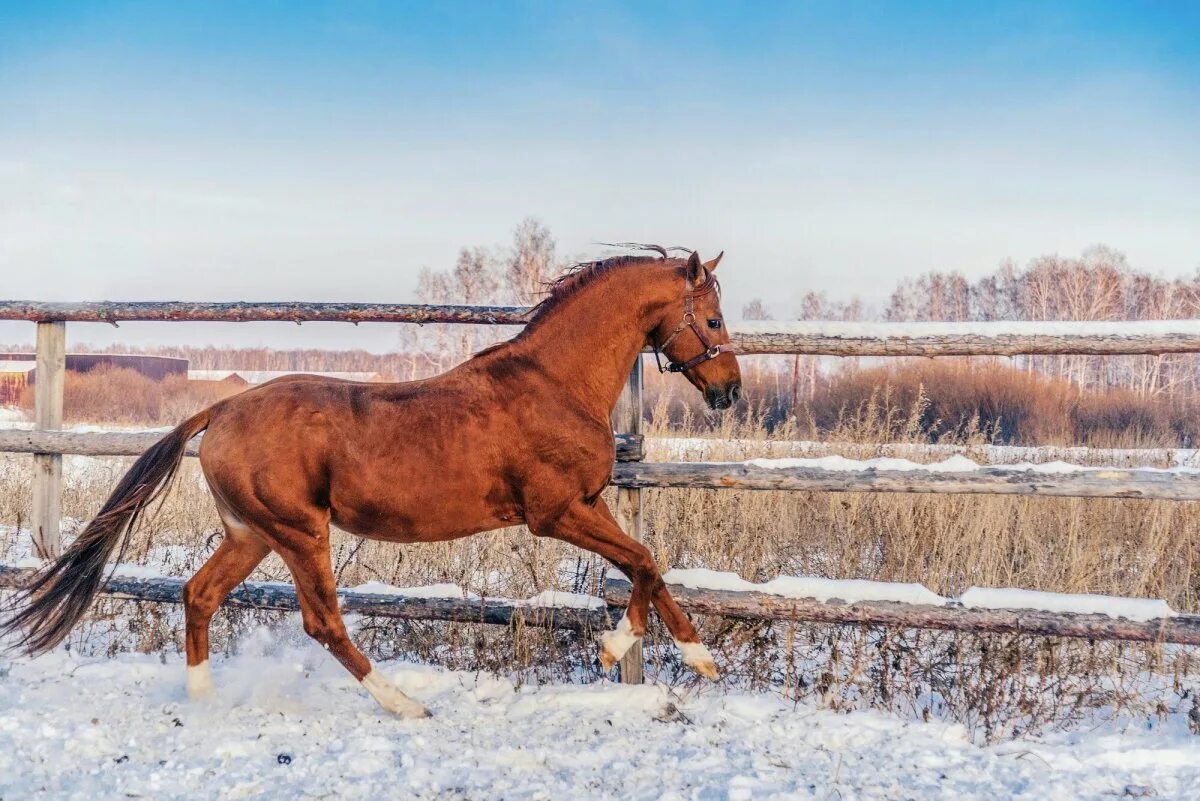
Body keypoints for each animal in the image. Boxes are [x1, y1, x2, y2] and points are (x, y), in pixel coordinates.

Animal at [2, 247, 739, 714]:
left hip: (250, 535)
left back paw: (204, 699)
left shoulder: (587, 503)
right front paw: (634, 650)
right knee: (322, 620)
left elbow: (647, 563)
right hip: (300, 532)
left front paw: (689, 658)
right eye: (712, 317)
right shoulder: (555, 511)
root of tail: (221, 408)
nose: (729, 390)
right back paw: (406, 705)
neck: (553, 384)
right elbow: (643, 558)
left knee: (199, 594)